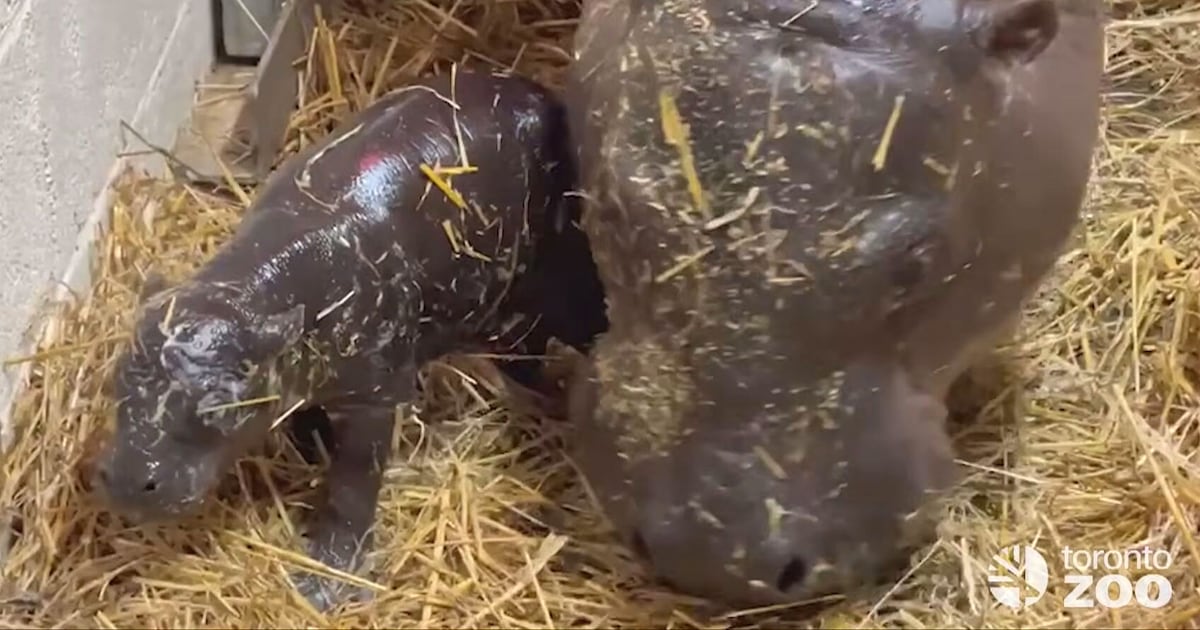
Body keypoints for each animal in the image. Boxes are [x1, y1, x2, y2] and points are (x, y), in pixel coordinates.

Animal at [94, 68, 606, 611]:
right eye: (116, 380)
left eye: (220, 406)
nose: (126, 481)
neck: (253, 288)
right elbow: (309, 429)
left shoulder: (372, 397)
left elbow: (353, 486)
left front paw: (324, 585)